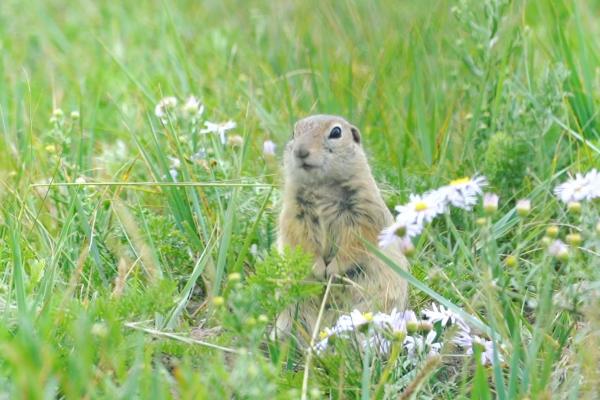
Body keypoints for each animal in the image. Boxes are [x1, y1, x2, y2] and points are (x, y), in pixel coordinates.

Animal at [276, 114, 408, 336]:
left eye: (336, 132)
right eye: (294, 133)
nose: (300, 151)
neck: (322, 187)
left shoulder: (365, 209)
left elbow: (357, 242)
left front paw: (332, 270)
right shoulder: (294, 212)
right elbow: (299, 237)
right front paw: (318, 268)